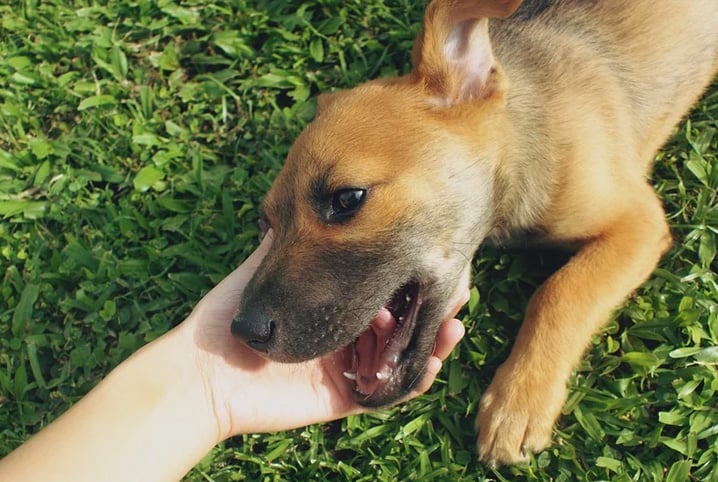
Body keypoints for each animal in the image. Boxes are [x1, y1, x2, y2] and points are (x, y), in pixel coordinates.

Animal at [231, 0, 718, 466]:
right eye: (265, 224)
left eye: (348, 198)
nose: (242, 332)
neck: (521, 141)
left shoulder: (638, 222)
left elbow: (560, 290)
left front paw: (518, 402)